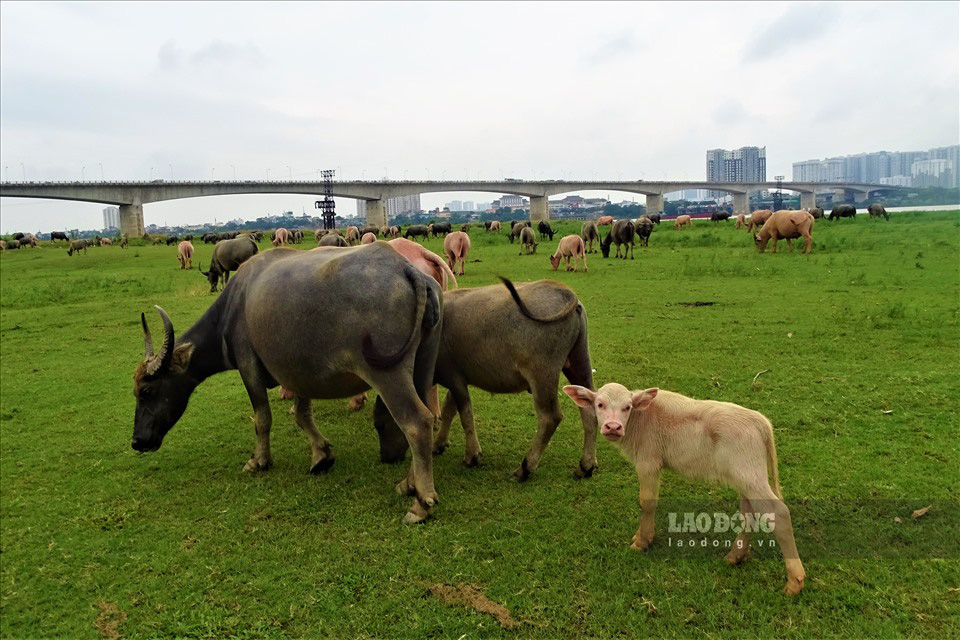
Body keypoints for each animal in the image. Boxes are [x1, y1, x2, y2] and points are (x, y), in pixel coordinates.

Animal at [133, 242, 444, 524]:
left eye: (147, 391)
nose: (138, 441)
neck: (234, 307)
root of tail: (406, 269)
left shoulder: (249, 367)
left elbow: (262, 419)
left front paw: (258, 460)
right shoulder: (299, 372)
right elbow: (302, 415)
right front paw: (321, 456)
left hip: (387, 374)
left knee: (416, 423)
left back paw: (421, 503)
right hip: (423, 365)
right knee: (428, 415)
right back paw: (409, 484)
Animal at [372, 276, 596, 480]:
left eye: (380, 426)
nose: (386, 458)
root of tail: (565, 293)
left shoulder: (455, 380)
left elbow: (465, 414)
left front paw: (472, 455)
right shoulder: (455, 379)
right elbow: (449, 409)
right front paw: (439, 444)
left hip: (542, 375)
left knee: (550, 418)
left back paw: (525, 468)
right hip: (580, 364)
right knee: (589, 409)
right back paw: (585, 466)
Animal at [564, 380, 804, 596]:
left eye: (627, 407)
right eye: (600, 404)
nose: (613, 427)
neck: (641, 421)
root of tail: (759, 421)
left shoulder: (648, 462)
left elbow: (647, 503)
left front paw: (642, 541)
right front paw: (642, 536)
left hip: (750, 474)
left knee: (779, 513)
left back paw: (795, 581)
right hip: (746, 475)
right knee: (749, 511)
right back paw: (736, 556)